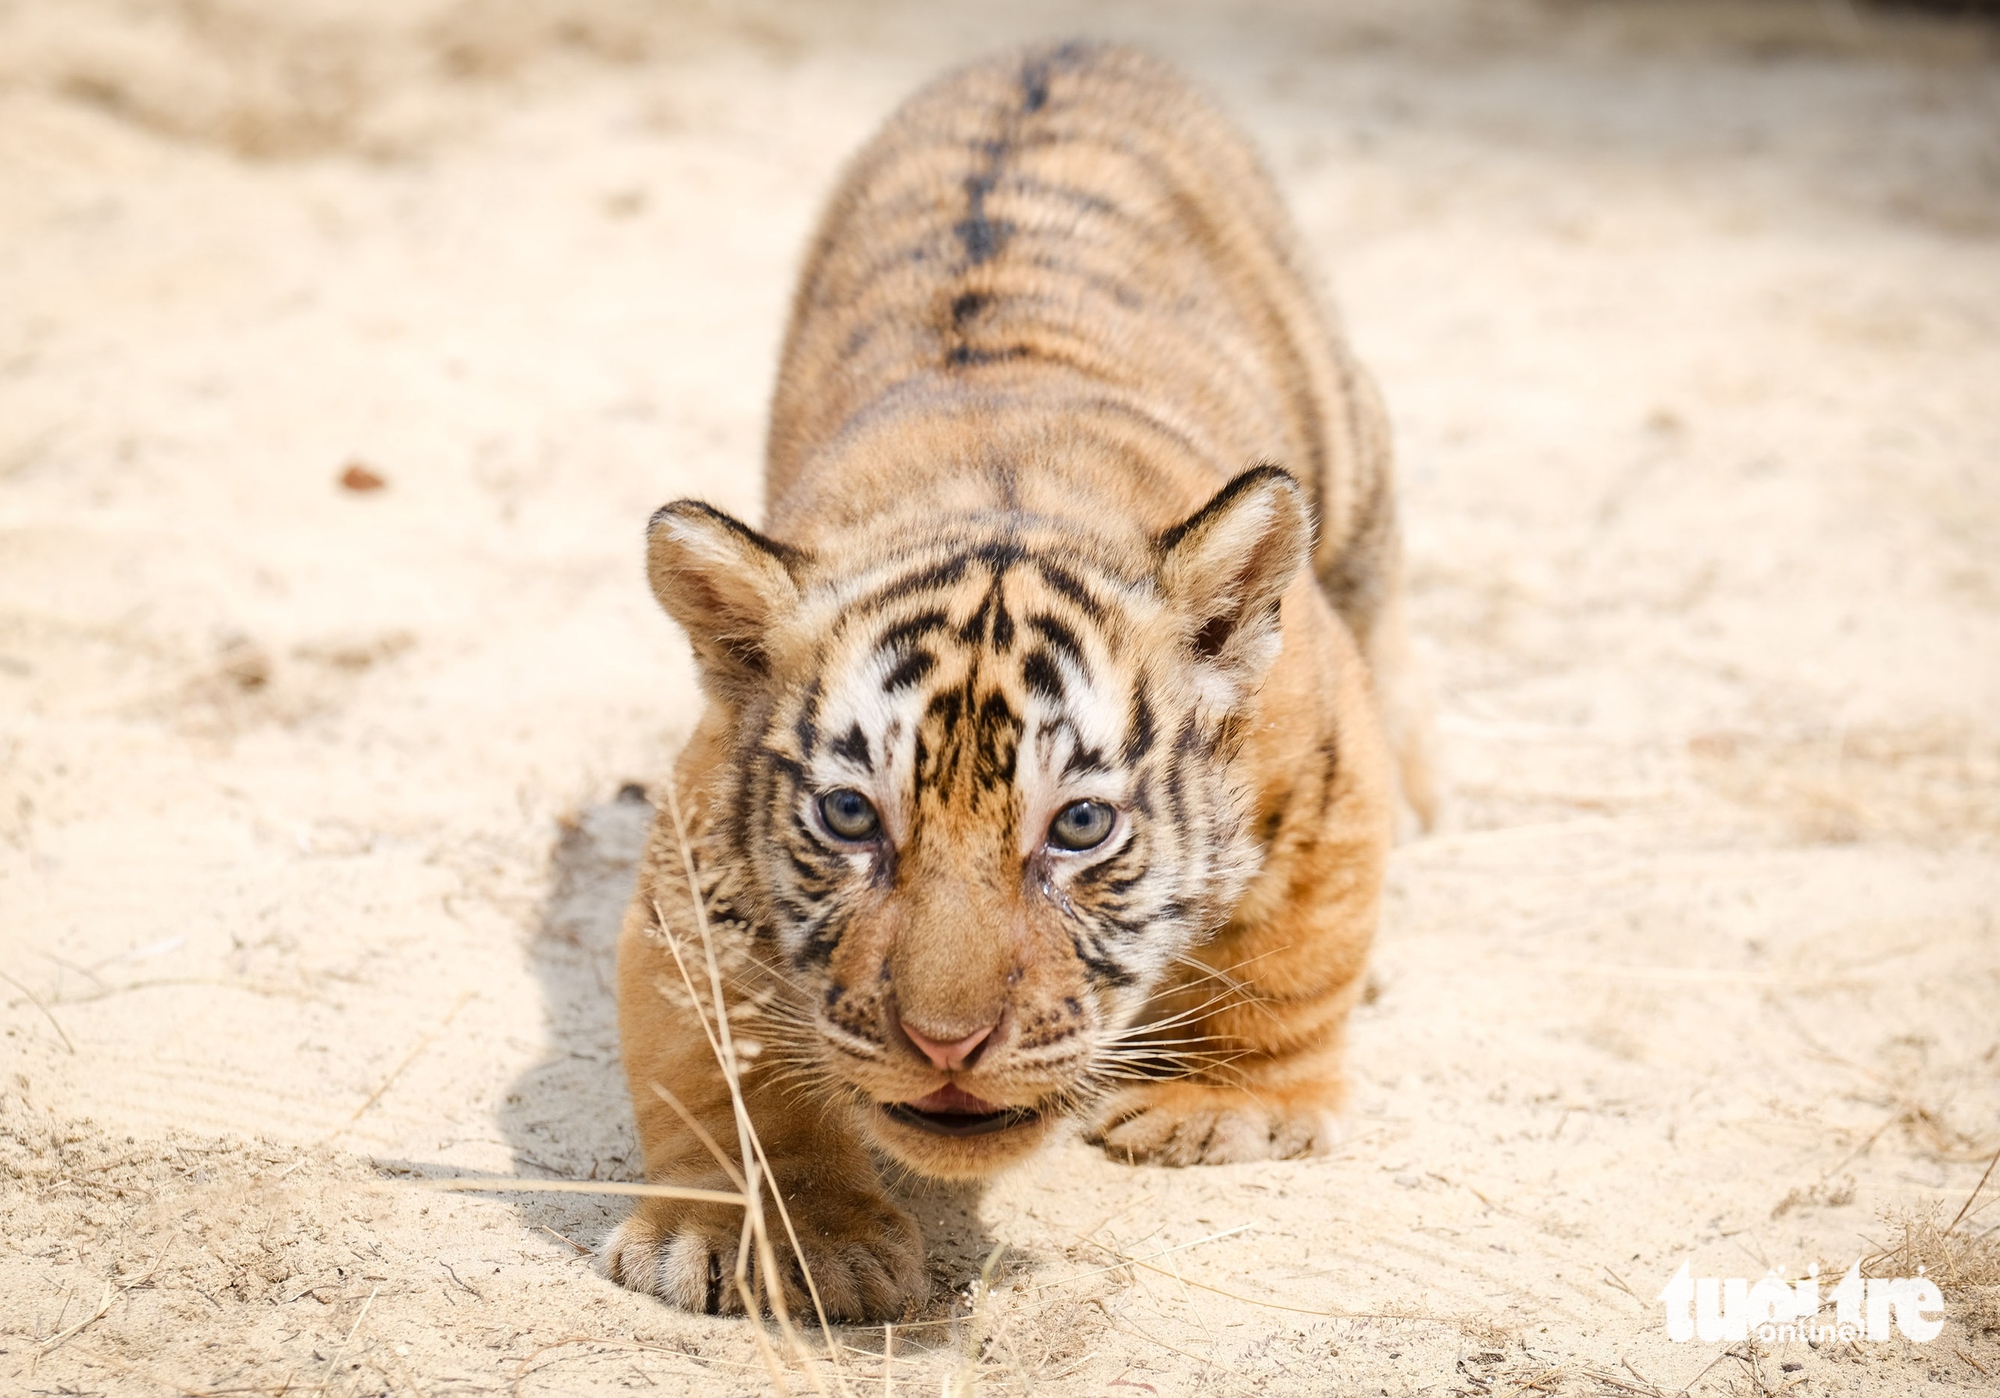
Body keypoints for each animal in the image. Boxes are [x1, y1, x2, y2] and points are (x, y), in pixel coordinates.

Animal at [604, 40, 1433, 1322]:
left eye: (1079, 827)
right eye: (851, 818)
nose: (946, 1045)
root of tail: (1059, 45)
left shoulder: (1321, 753)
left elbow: (1292, 953)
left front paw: (1225, 1111)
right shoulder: (699, 855)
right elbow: (717, 1055)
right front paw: (771, 1235)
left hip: (1351, 484)